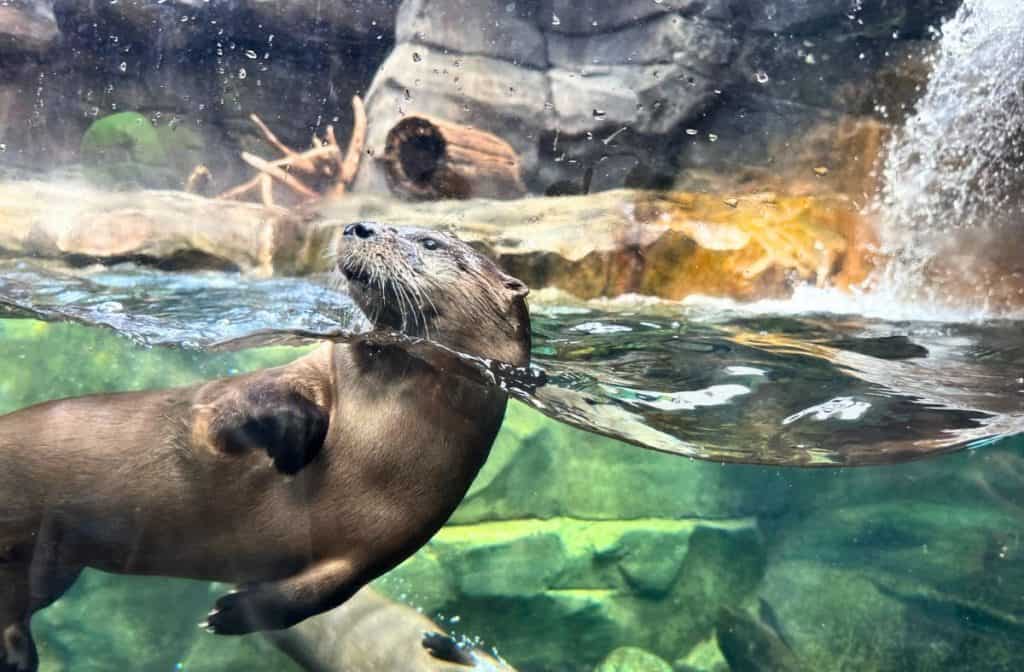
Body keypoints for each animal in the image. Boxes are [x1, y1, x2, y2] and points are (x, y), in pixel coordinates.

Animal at [0, 222, 531, 672]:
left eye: (430, 243)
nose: (358, 225)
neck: (373, 444)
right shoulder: (254, 393)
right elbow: (223, 414)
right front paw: (298, 433)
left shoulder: (395, 538)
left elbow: (320, 596)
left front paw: (233, 613)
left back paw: (18, 654)